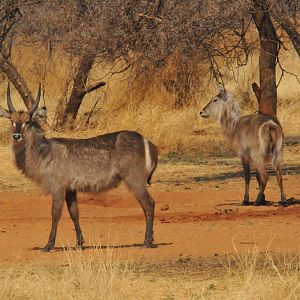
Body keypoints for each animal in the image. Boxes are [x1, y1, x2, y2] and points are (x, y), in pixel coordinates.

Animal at [0, 84, 159, 251]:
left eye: (28, 121)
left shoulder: (58, 187)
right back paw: (150, 239)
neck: (44, 152)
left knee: (149, 204)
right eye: (12, 121)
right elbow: (74, 213)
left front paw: (48, 245)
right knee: (147, 205)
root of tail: (148, 142)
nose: (16, 136)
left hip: (134, 179)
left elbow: (55, 214)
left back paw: (146, 242)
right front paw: (79, 243)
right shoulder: (71, 189)